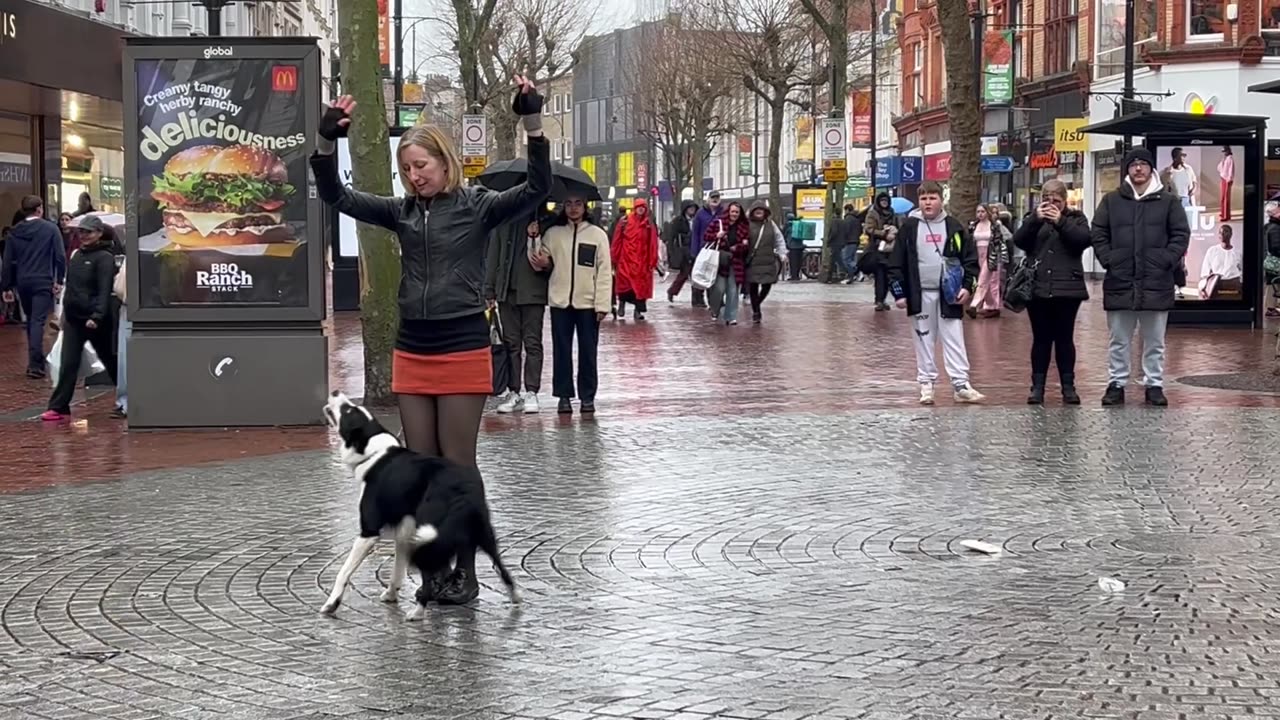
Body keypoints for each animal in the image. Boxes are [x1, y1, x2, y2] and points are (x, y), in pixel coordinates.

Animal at [320, 389, 519, 620]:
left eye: (348, 411)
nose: (335, 392)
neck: (374, 452)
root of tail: (461, 487)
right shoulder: (404, 531)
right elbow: (397, 571)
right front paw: (391, 595)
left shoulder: (368, 532)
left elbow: (343, 571)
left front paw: (331, 603)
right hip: (482, 532)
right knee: (504, 571)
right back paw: (515, 598)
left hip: (431, 530)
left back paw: (417, 612)